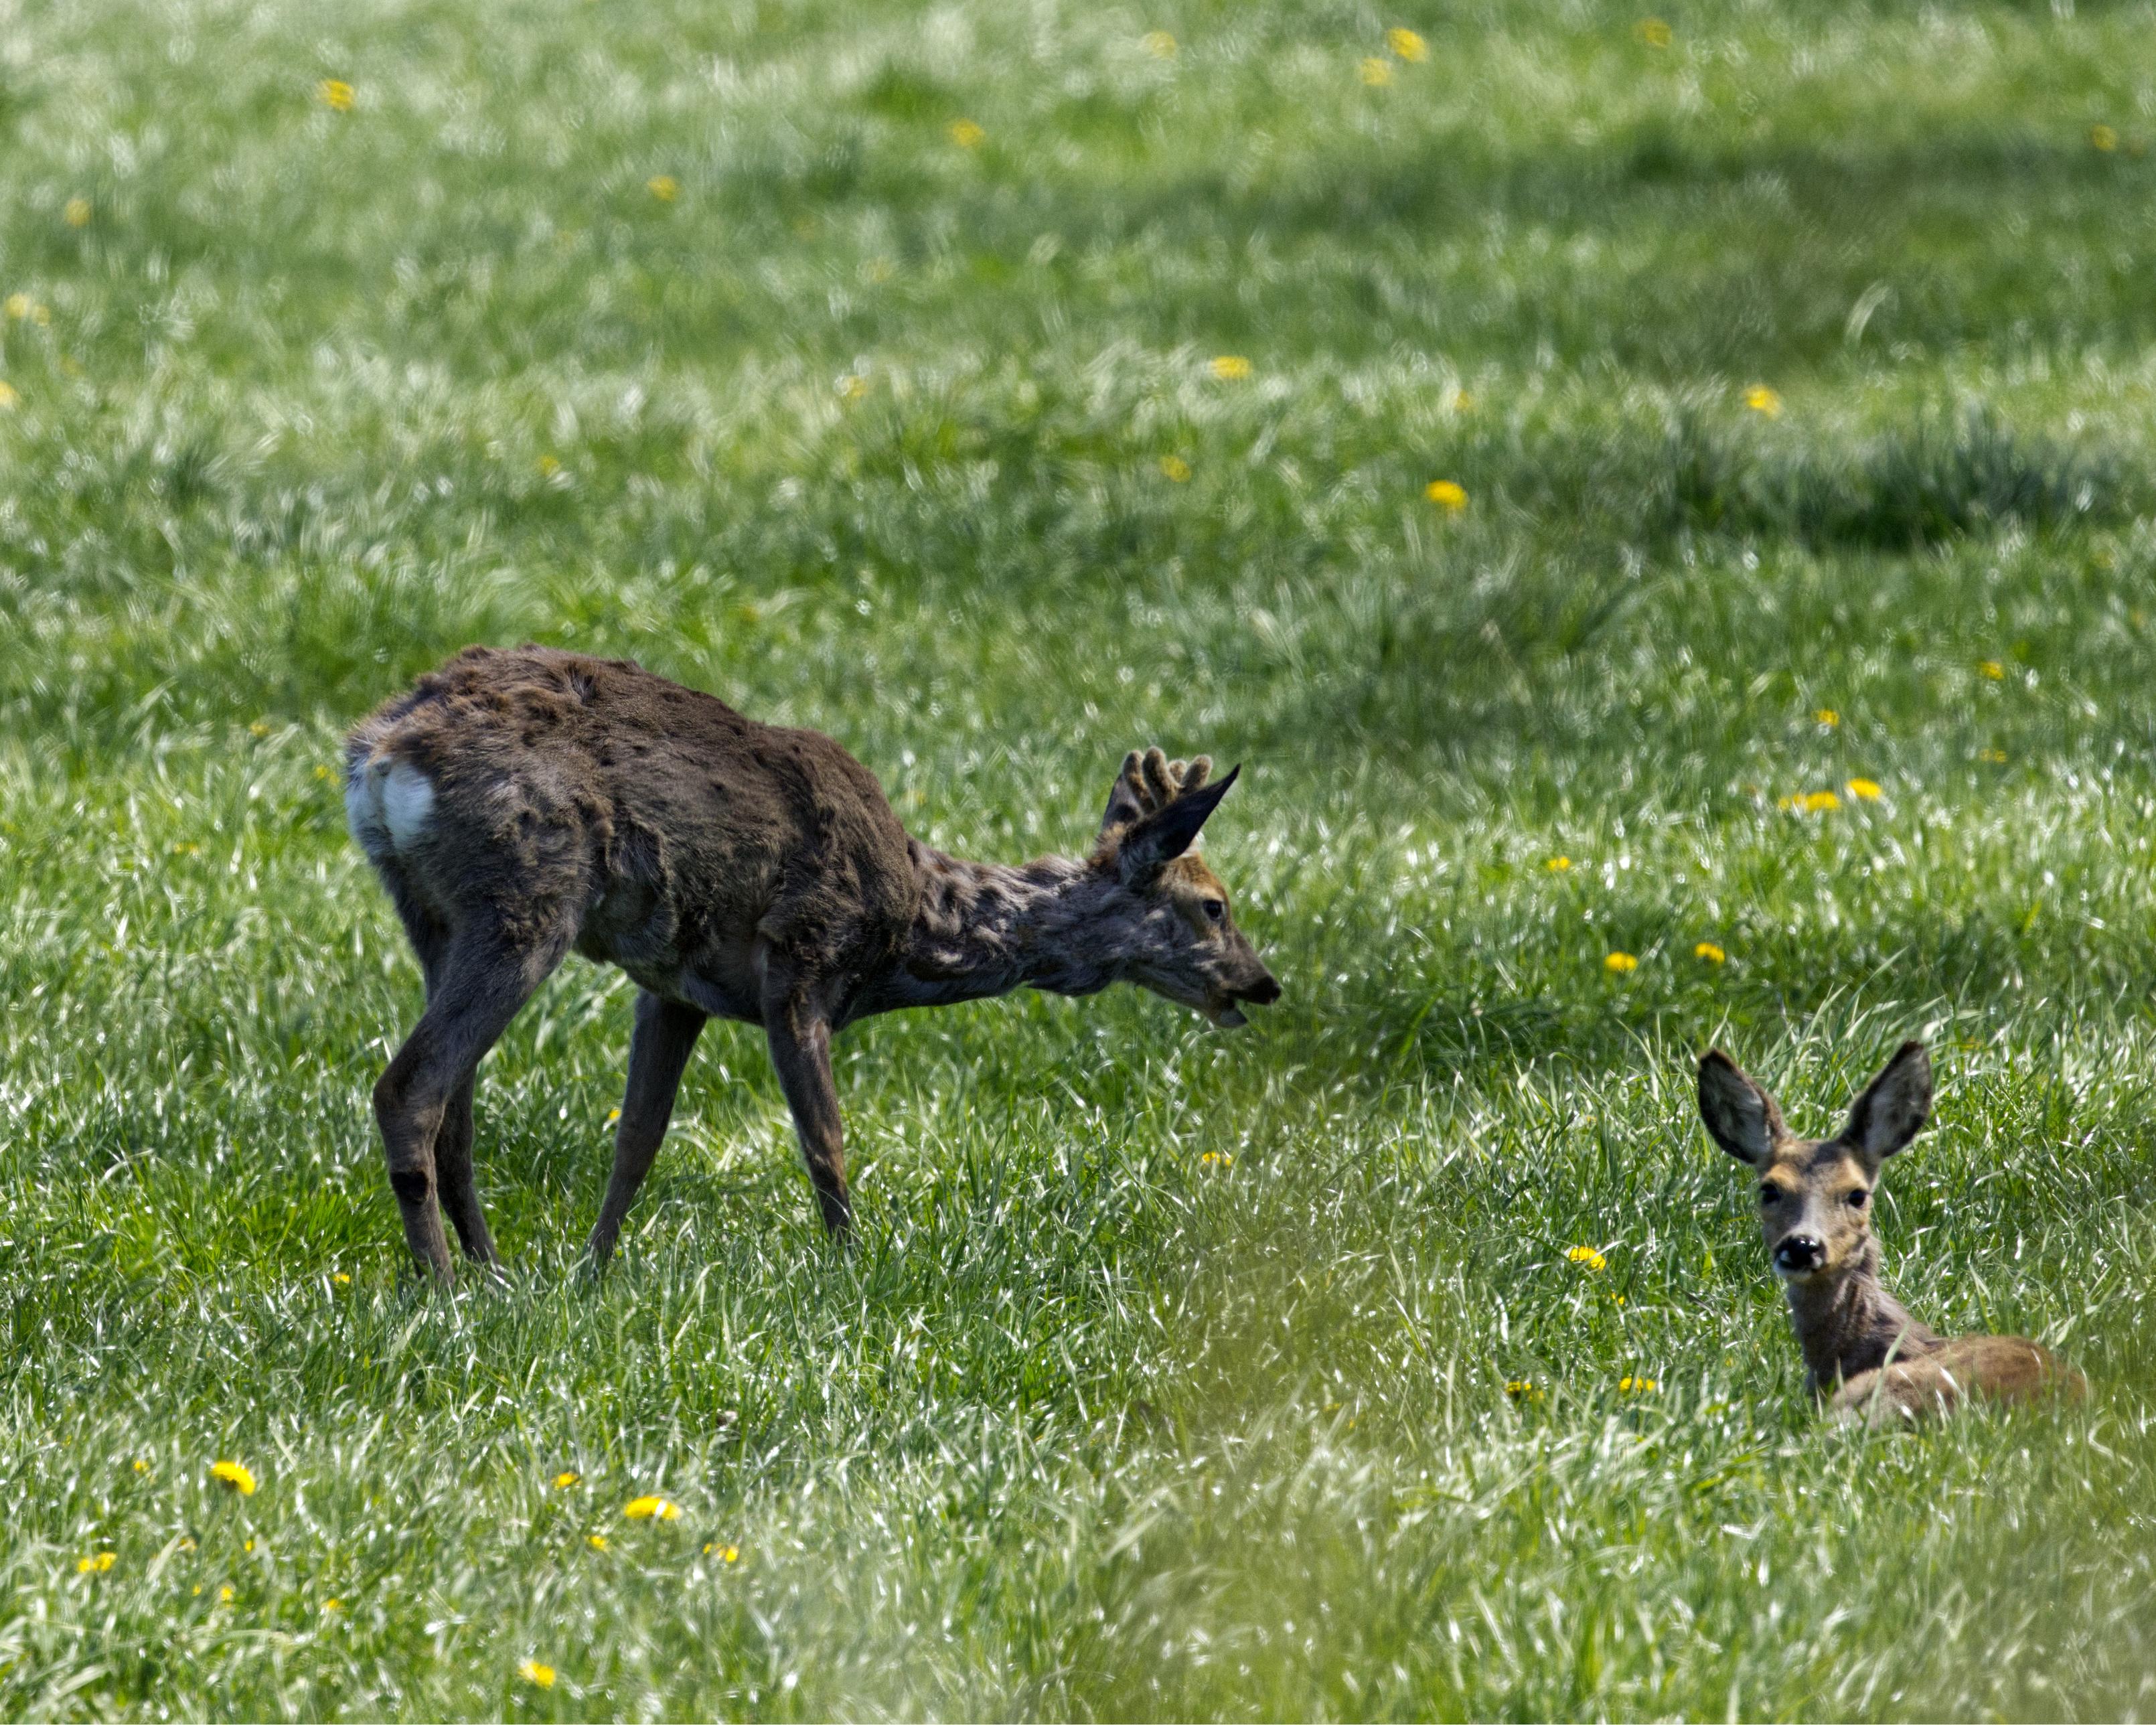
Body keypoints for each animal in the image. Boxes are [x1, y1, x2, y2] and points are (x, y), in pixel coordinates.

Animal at [343, 644, 1281, 1281]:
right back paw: (443, 1286)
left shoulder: (672, 989)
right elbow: (823, 1138)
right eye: (1214, 904)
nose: (1263, 982)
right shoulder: (803, 956)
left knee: (456, 1106)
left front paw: (592, 1272)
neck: (907, 930)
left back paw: (493, 1271)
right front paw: (853, 1269)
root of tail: (381, 754)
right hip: (529, 896)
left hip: (434, 914)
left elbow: (637, 1140)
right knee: (411, 1085)